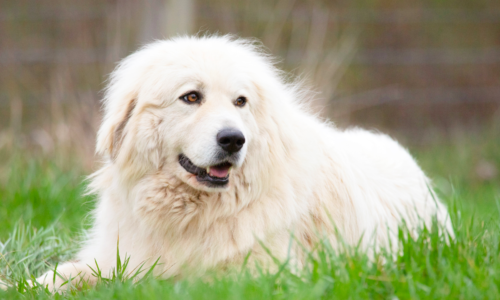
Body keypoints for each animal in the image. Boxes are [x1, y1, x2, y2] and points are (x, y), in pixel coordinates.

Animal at [30, 35, 454, 290]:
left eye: (240, 102)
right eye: (191, 97)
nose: (233, 139)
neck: (193, 215)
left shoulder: (257, 273)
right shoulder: (116, 254)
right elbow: (64, 273)